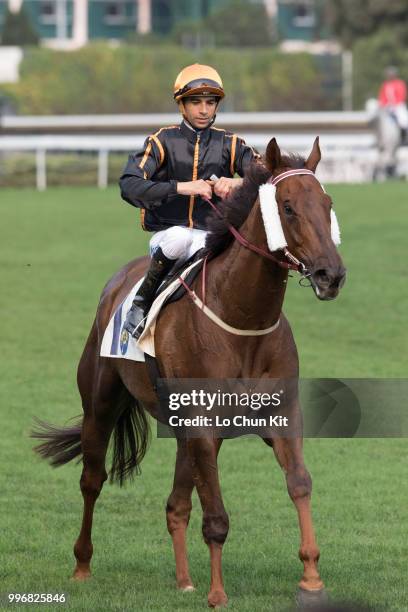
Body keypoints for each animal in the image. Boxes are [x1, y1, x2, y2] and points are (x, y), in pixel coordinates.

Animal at [32, 137, 344, 608]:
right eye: (288, 207)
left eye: (326, 204)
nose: (332, 274)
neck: (241, 317)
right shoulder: (203, 425)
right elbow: (216, 515)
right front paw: (218, 594)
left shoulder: (279, 416)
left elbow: (299, 484)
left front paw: (311, 578)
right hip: (100, 403)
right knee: (92, 480)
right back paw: (82, 566)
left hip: (179, 426)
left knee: (175, 504)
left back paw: (184, 580)